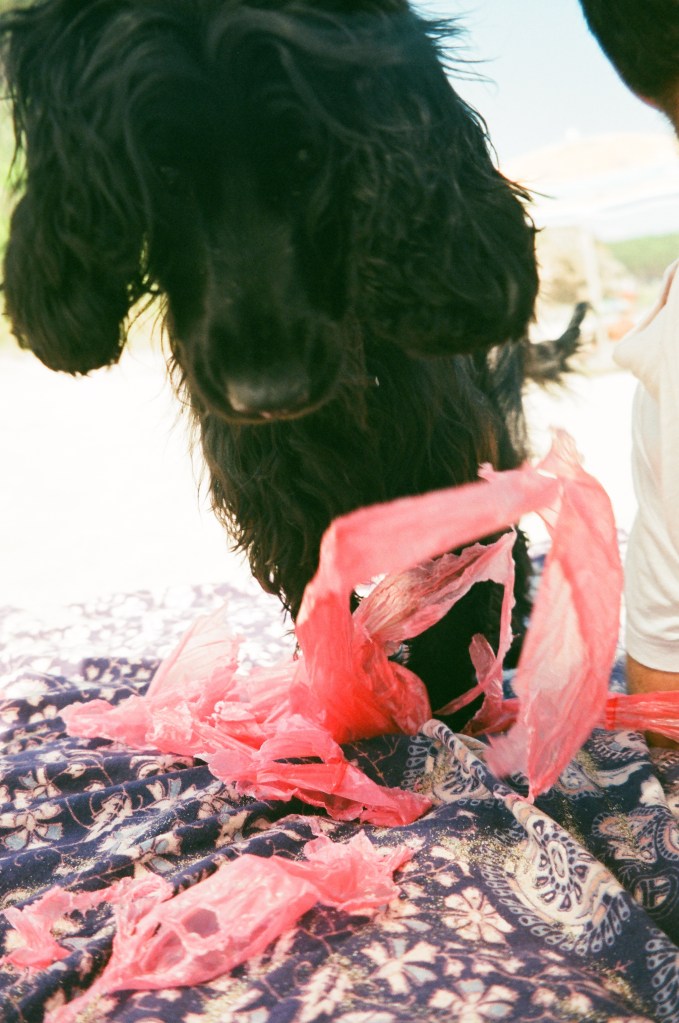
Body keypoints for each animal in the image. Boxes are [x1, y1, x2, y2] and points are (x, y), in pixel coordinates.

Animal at [0, 0, 582, 725]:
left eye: (309, 155)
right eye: (163, 170)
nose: (268, 393)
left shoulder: (449, 470)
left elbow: (461, 585)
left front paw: (450, 695)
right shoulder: (284, 508)